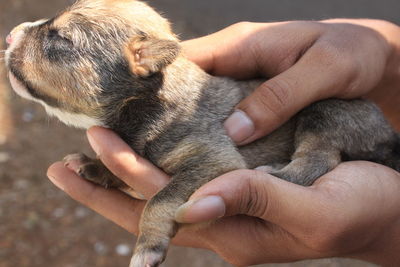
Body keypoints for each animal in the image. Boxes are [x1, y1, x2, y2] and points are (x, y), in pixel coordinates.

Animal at [3, 1, 400, 266]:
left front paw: (147, 247)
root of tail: (388, 132)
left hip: (327, 110)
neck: (147, 101)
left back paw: (276, 173)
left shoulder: (213, 160)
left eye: (59, 38)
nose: (10, 33)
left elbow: (160, 199)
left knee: (320, 158)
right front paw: (93, 166)